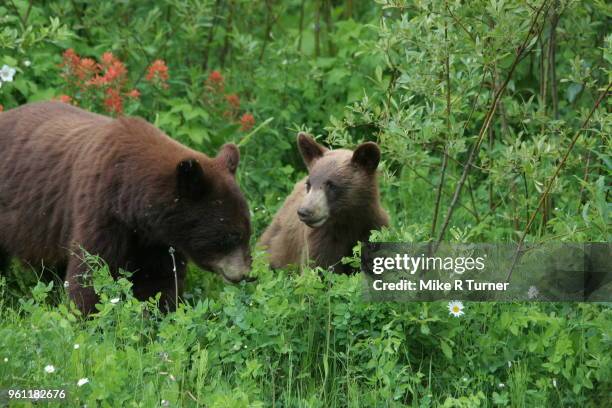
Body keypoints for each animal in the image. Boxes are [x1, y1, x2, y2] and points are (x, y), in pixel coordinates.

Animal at [0, 101, 252, 312]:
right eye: (231, 236)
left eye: (248, 232)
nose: (245, 274)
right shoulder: (100, 210)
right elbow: (91, 270)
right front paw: (89, 316)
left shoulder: (156, 239)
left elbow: (158, 279)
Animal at [260, 133, 388, 274]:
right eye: (309, 184)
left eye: (331, 185)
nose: (304, 212)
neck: (347, 221)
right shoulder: (320, 239)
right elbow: (319, 268)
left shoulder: (373, 229)